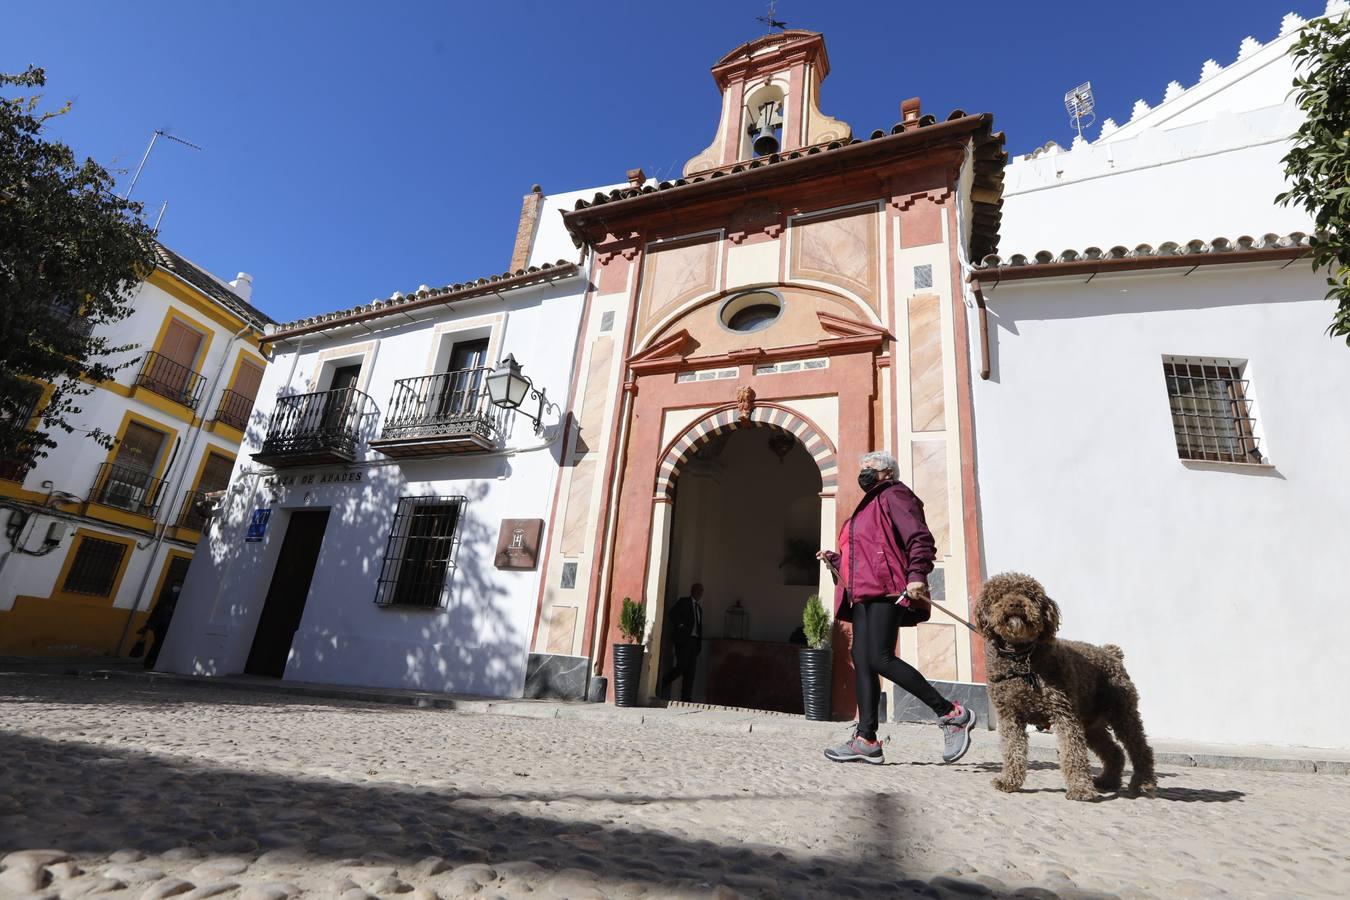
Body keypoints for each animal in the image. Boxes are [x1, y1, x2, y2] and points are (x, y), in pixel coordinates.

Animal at [977, 574, 1155, 798]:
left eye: (1030, 595)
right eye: (999, 595)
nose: (1015, 603)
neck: (1022, 659)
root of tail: (1111, 654)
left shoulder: (1063, 713)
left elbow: (1073, 752)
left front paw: (1080, 788)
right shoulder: (1009, 716)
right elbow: (1012, 749)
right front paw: (1009, 781)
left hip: (1122, 713)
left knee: (1140, 748)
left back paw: (1143, 783)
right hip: (1091, 724)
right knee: (1114, 751)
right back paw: (1108, 780)